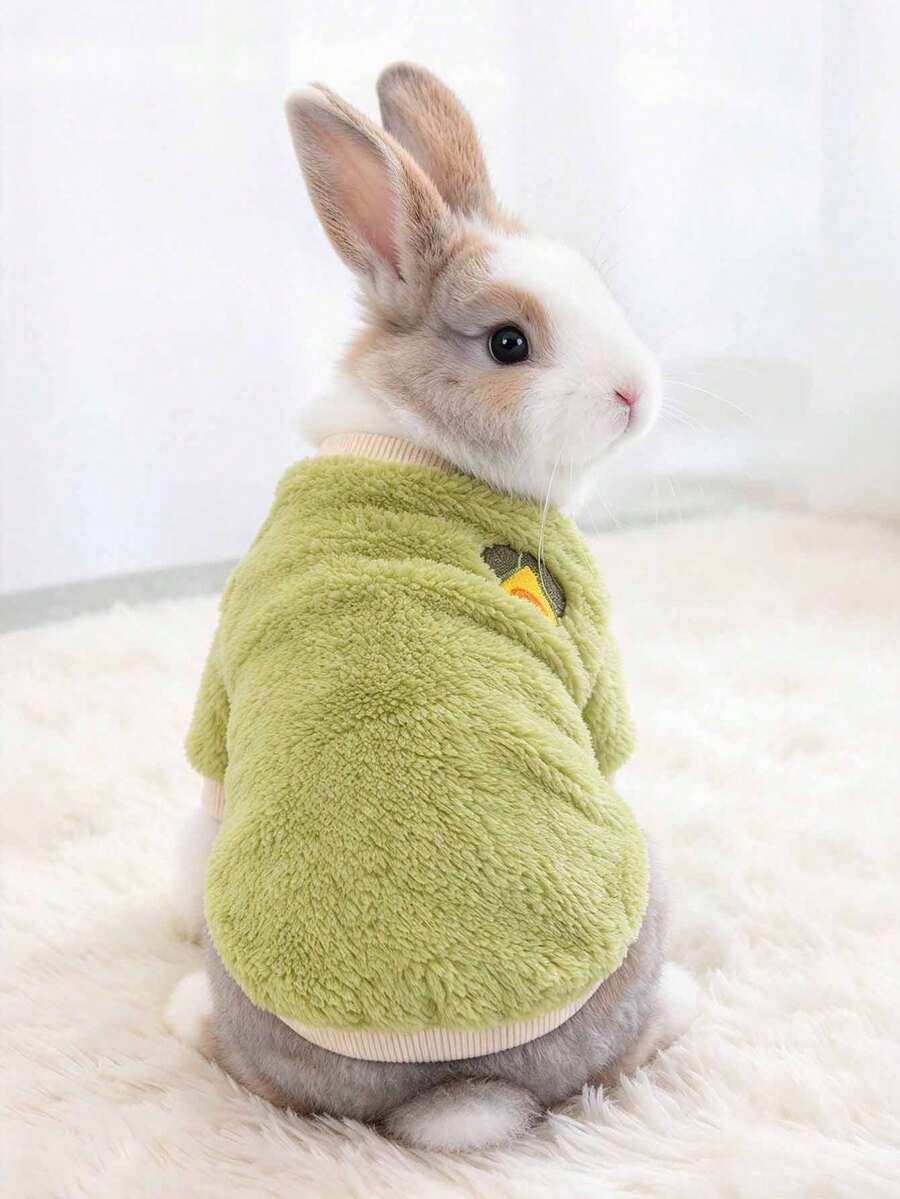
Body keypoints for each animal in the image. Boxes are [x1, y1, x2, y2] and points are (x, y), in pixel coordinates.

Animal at [167, 62, 698, 1153]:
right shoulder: (595, 683)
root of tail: (456, 1078)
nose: (636, 391)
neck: (416, 438)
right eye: (509, 342)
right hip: (647, 884)